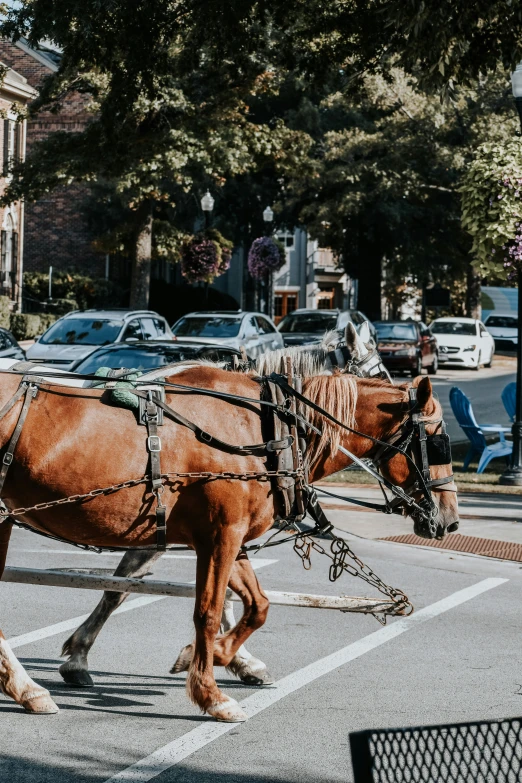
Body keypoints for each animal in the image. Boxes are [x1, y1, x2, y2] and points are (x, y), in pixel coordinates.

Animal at [0, 368, 458, 724]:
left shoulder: (230, 539)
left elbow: (258, 606)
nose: (451, 519)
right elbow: (207, 612)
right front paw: (210, 693)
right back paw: (28, 687)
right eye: (438, 439)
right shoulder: (221, 534)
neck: (267, 430)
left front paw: (206, 657)